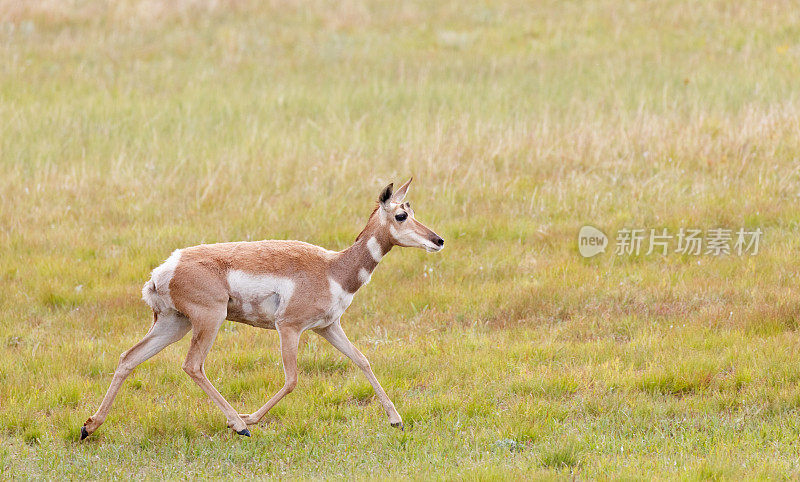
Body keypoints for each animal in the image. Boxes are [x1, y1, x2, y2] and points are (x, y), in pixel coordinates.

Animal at [81, 179, 444, 438]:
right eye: (400, 214)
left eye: (411, 210)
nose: (438, 240)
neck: (332, 268)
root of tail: (165, 268)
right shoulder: (289, 328)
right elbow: (292, 379)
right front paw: (248, 418)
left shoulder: (329, 327)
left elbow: (362, 360)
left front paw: (396, 420)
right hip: (210, 320)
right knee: (193, 365)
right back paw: (238, 424)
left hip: (174, 325)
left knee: (129, 358)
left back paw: (89, 426)